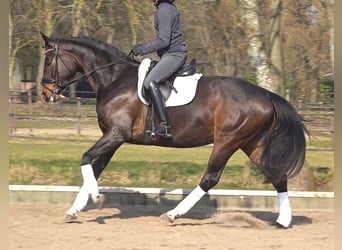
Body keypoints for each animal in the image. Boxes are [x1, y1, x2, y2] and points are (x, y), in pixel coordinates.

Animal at [39, 32, 308, 228]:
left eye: (49, 61)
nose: (45, 94)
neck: (113, 78)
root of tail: (266, 94)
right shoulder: (113, 139)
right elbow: (94, 169)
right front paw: (73, 210)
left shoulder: (116, 134)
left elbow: (85, 158)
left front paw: (95, 197)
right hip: (252, 144)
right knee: (277, 175)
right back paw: (283, 221)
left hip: (228, 140)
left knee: (210, 178)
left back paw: (173, 214)